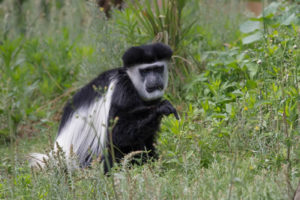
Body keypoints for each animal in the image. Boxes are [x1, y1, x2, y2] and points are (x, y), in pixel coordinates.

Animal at [31, 42, 178, 173]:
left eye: (158, 69)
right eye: (145, 71)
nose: (154, 80)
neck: (130, 80)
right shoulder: (122, 91)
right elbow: (116, 132)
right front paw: (161, 107)